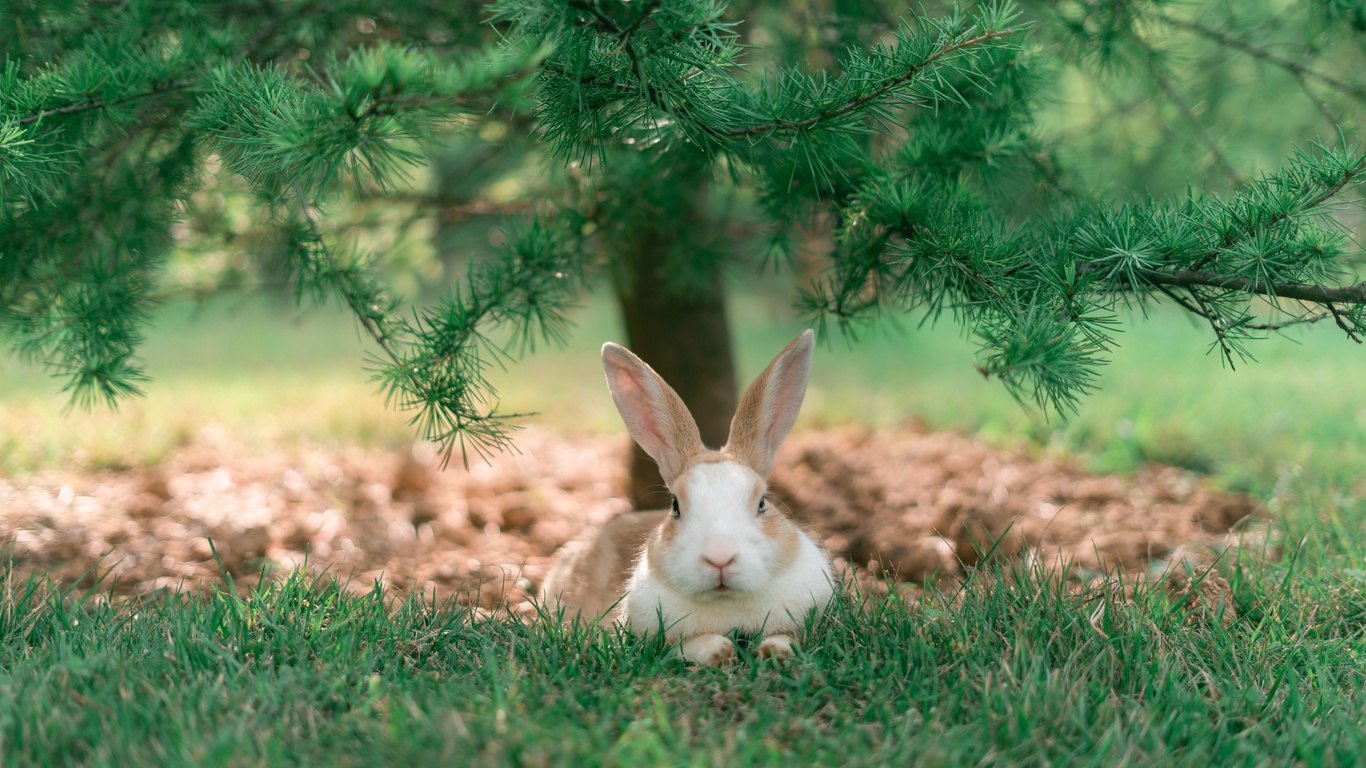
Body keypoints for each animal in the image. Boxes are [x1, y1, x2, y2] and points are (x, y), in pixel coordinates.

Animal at [540, 329, 835, 664]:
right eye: (675, 507)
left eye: (762, 503)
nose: (720, 558)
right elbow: (686, 646)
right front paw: (719, 650)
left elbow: (788, 637)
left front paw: (775, 651)